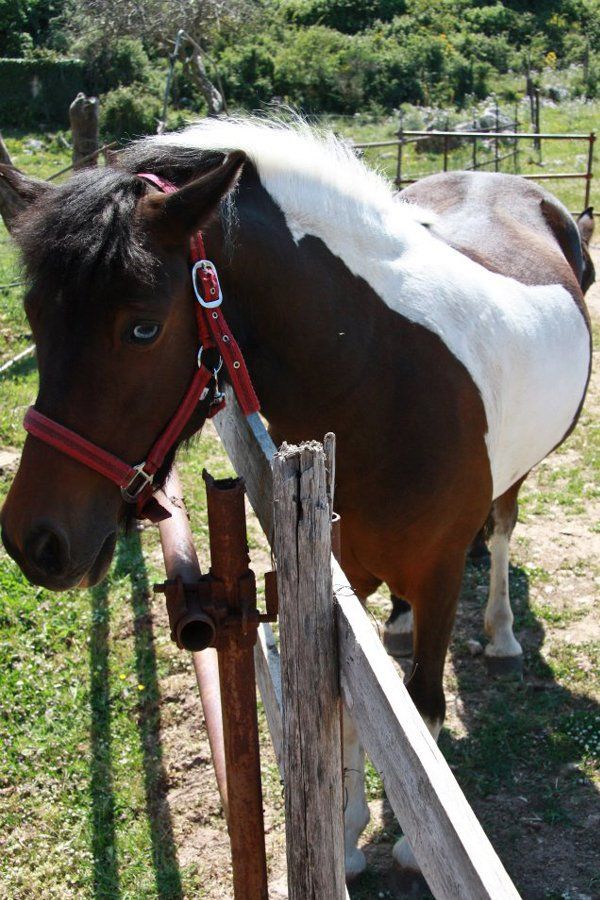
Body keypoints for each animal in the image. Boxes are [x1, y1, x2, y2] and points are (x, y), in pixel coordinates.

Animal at [0, 118, 592, 881]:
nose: (35, 541)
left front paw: (407, 842)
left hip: (510, 490)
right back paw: (403, 623)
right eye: (35, 317)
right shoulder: (341, 575)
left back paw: (502, 635)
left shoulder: (438, 576)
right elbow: (346, 713)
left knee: (503, 530)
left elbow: (423, 705)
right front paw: (345, 838)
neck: (385, 379)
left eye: (142, 328)